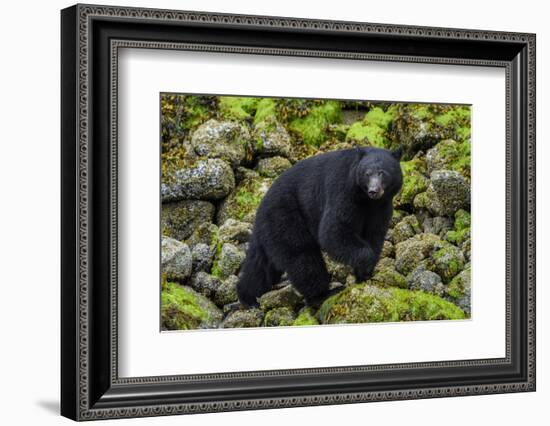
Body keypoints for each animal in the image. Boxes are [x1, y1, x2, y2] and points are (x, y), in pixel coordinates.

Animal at [238, 146, 406, 306]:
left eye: (382, 173)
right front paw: (366, 264)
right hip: (285, 216)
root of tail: (260, 206)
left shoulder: (381, 207)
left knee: (260, 264)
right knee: (302, 256)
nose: (373, 191)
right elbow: (334, 231)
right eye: (367, 173)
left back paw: (248, 297)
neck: (366, 200)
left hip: (270, 229)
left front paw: (365, 274)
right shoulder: (343, 193)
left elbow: (374, 234)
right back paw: (322, 294)